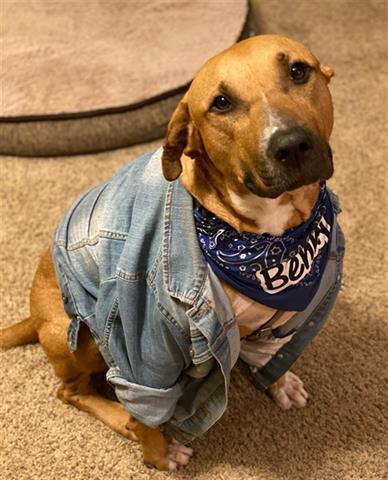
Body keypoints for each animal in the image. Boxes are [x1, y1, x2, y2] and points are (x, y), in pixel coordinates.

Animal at [0, 35, 346, 470]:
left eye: (298, 71)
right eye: (221, 103)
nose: (292, 145)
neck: (268, 239)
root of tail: (32, 314)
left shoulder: (286, 319)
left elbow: (272, 355)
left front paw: (280, 385)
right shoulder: (143, 353)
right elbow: (147, 406)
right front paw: (159, 455)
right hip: (80, 339)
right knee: (72, 392)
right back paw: (123, 420)